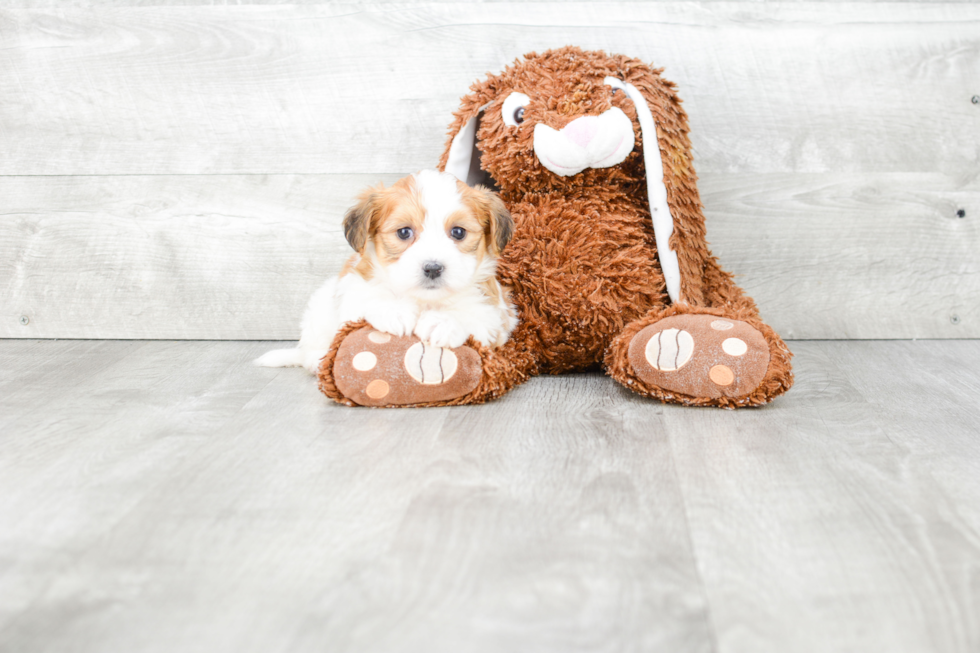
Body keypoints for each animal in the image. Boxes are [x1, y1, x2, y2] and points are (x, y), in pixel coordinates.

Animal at [255, 168, 520, 372]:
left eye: (458, 232)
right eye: (403, 232)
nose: (433, 268)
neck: (424, 299)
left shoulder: (500, 315)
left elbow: (479, 315)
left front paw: (445, 321)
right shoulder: (353, 289)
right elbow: (367, 298)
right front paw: (394, 310)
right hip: (320, 308)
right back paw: (316, 359)